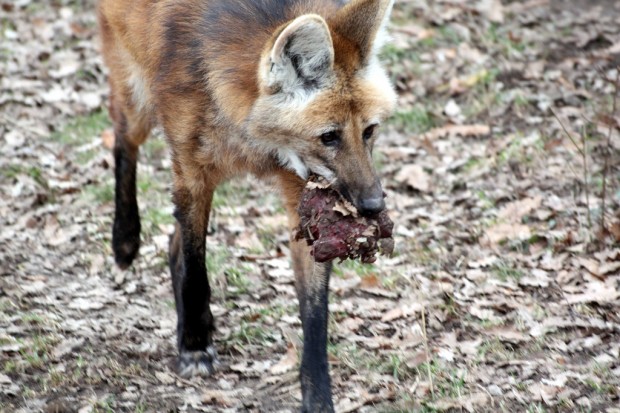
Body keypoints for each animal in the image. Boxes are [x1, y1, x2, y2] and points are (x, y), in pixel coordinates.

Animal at [98, 0, 398, 408]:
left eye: (369, 131)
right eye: (329, 137)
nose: (372, 204)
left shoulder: (302, 193)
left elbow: (315, 314)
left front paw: (318, 396)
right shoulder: (192, 174)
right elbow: (195, 267)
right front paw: (194, 347)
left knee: (172, 242)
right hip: (137, 98)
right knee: (123, 140)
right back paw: (125, 241)